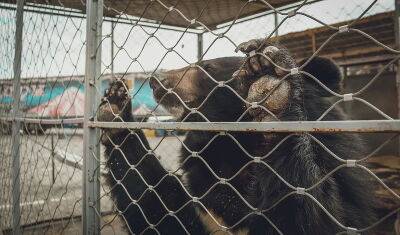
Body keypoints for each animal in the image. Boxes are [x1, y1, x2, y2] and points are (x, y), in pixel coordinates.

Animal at [98, 39, 376, 234]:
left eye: (208, 68)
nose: (157, 80)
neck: (235, 146)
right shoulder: (205, 206)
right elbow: (159, 210)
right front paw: (116, 110)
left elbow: (311, 216)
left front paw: (270, 82)